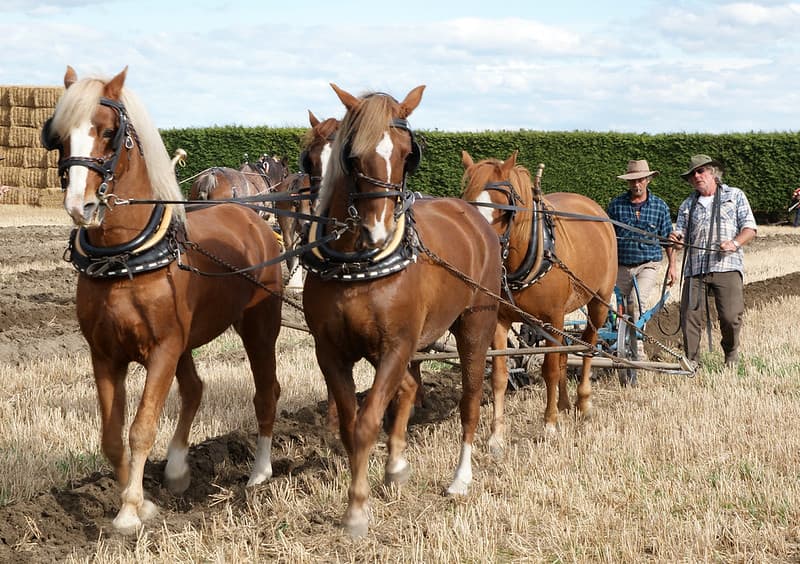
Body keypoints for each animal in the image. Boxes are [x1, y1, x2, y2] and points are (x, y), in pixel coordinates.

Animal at [41, 65, 284, 534]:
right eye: (59, 136)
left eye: (109, 132)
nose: (80, 207)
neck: (124, 258)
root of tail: (250, 215)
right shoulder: (106, 354)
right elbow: (111, 436)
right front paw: (143, 502)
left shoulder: (162, 350)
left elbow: (141, 428)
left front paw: (130, 511)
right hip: (186, 343)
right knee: (194, 389)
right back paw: (176, 467)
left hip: (258, 328)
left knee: (266, 391)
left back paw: (260, 474)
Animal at [301, 84, 501, 537]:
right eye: (352, 154)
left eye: (409, 153)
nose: (378, 229)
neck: (358, 263)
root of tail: (472, 214)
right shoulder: (330, 351)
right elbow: (350, 422)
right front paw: (371, 486)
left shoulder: (396, 345)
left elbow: (367, 421)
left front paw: (357, 510)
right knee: (410, 388)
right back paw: (396, 466)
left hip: (476, 325)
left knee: (470, 400)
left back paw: (460, 478)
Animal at [460, 150, 617, 447]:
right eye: (468, 204)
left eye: (504, 209)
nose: (484, 249)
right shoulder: (501, 320)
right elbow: (500, 375)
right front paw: (497, 435)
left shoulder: (551, 317)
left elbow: (550, 370)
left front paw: (550, 424)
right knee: (566, 352)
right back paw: (565, 403)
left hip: (599, 302)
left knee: (588, 347)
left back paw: (583, 404)